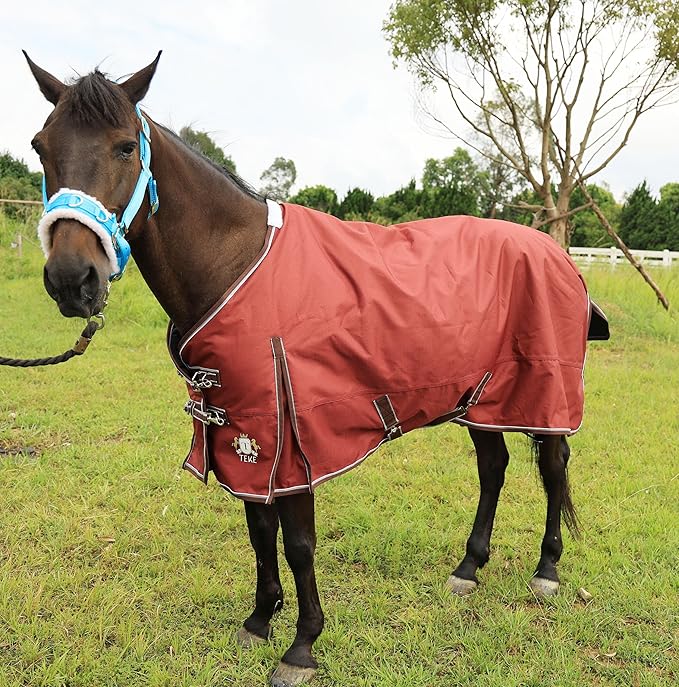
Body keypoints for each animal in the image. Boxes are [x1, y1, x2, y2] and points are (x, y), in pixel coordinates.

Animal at [24, 52, 608, 687]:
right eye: (39, 146)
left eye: (126, 147)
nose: (71, 279)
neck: (235, 265)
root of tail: (557, 253)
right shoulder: (244, 432)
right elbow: (260, 533)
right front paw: (260, 619)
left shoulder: (293, 440)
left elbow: (299, 543)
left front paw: (301, 646)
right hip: (481, 399)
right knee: (494, 468)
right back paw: (468, 567)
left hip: (540, 393)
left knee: (552, 465)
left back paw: (547, 570)